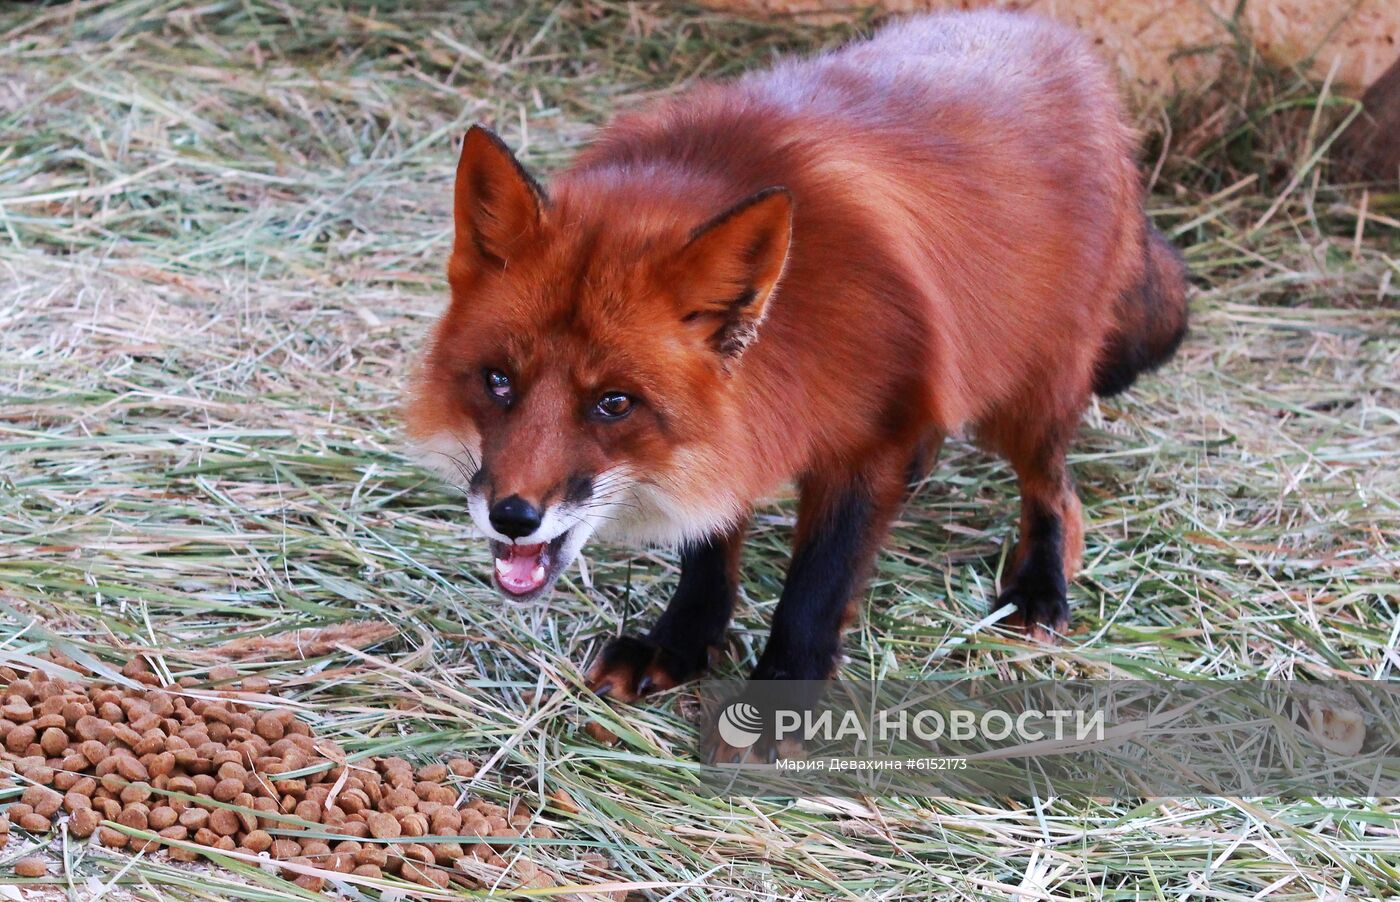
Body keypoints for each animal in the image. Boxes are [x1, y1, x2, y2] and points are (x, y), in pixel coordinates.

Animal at [408, 12, 1187, 761]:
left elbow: (818, 583)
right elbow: (708, 556)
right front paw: (678, 646)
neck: (800, 319)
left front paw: (777, 702)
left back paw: (1039, 587)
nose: (512, 517)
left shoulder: (869, 438)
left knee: (1055, 490)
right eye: (498, 381)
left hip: (1028, 394)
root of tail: (1061, 39)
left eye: (613, 403)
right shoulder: (736, 433)